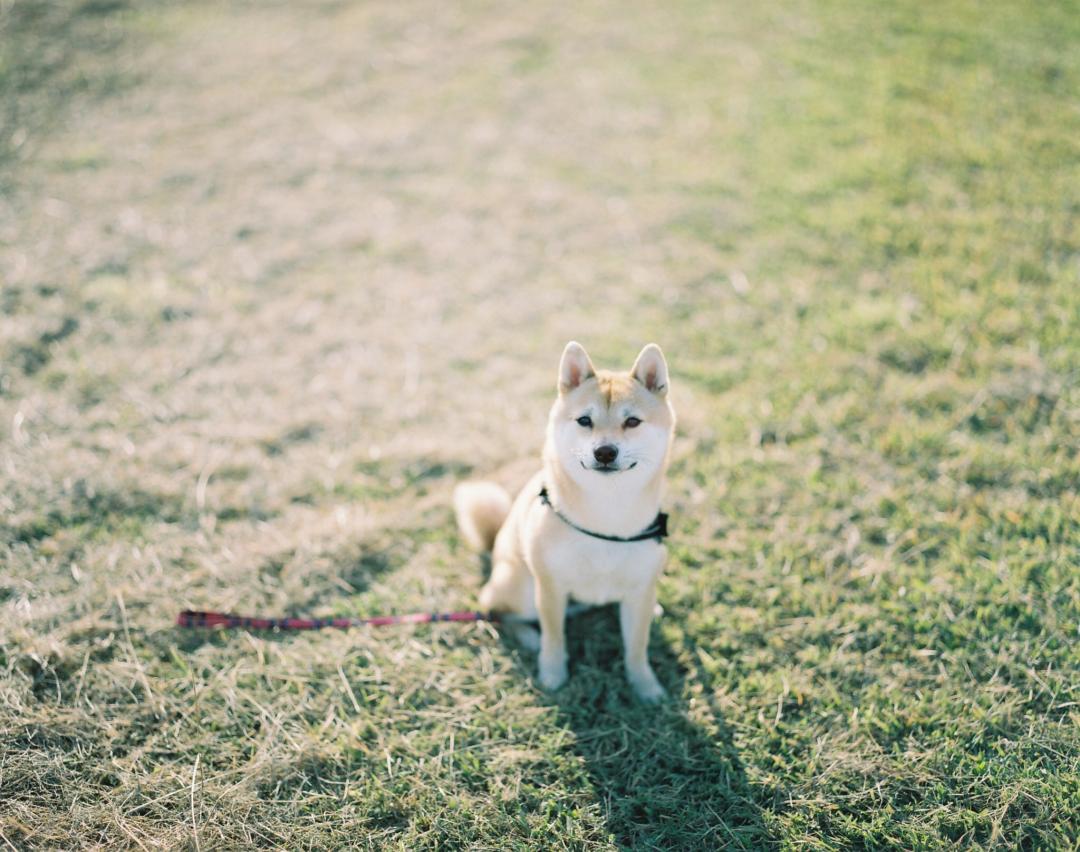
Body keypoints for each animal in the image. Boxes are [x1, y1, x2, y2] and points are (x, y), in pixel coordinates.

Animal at [455, 343, 673, 699]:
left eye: (632, 421)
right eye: (584, 420)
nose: (605, 452)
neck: (606, 516)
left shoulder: (639, 590)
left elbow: (637, 648)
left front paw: (645, 687)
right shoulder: (551, 588)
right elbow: (554, 638)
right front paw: (552, 675)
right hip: (520, 587)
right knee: (495, 609)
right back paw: (528, 637)